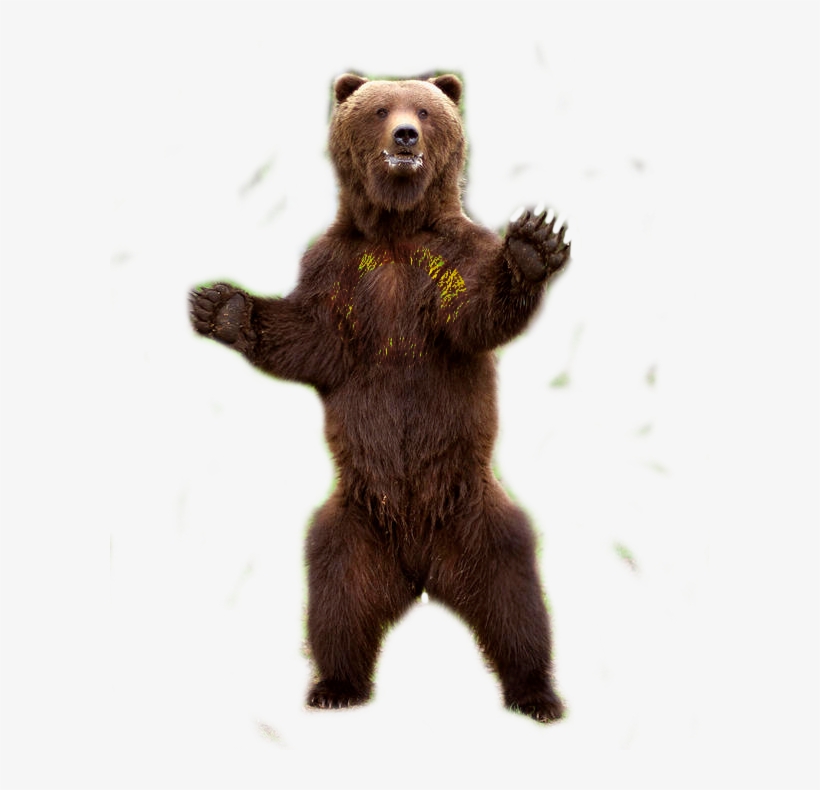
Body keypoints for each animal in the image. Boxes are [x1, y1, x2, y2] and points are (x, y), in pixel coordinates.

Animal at [189, 73, 570, 723]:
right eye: (378, 109)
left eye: (424, 109)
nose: (405, 134)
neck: (396, 230)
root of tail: (422, 570)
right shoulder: (337, 270)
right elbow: (310, 338)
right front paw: (223, 306)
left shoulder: (449, 260)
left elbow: (473, 315)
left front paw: (531, 247)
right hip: (355, 525)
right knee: (339, 599)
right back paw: (335, 685)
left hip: (477, 513)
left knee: (514, 596)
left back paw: (535, 693)